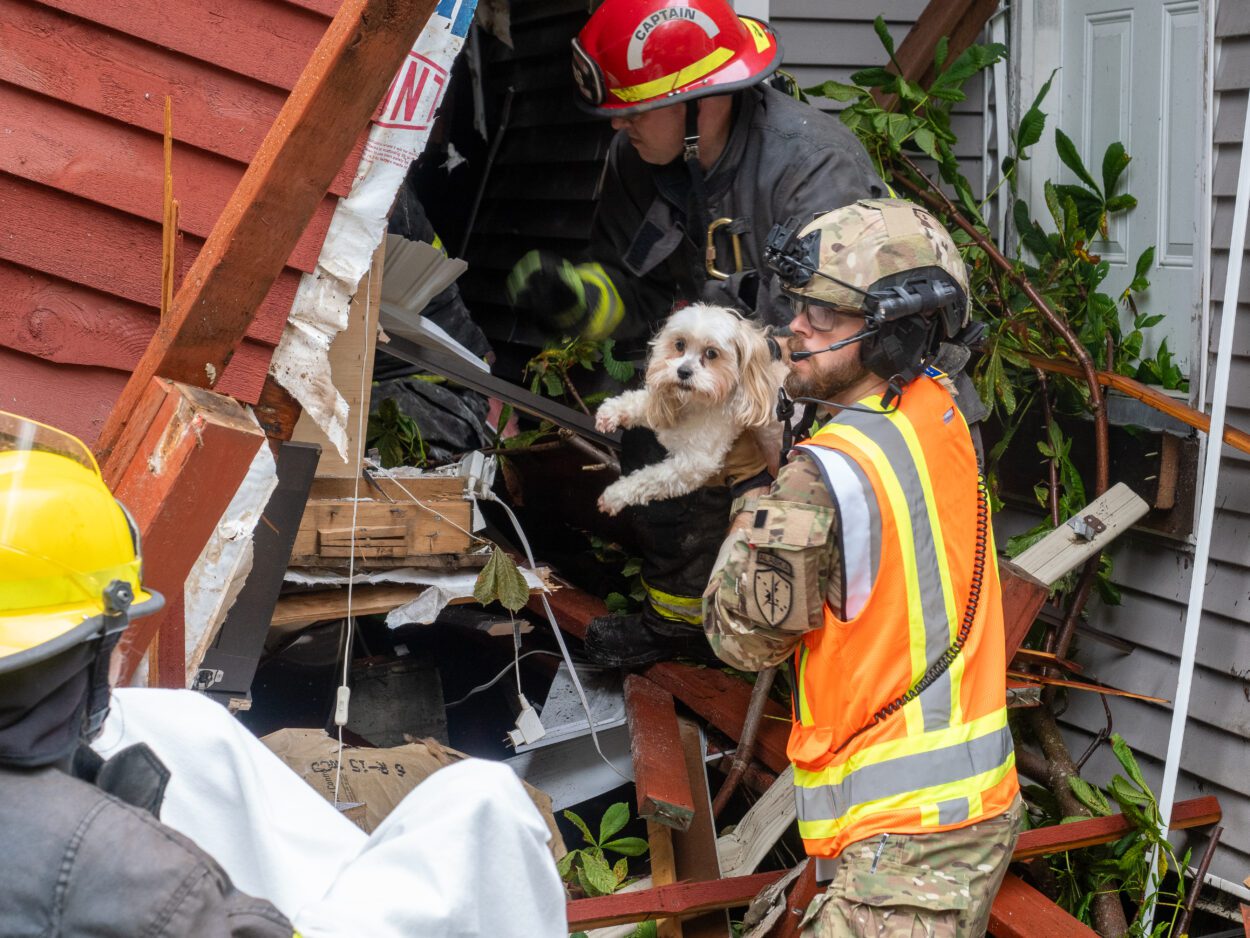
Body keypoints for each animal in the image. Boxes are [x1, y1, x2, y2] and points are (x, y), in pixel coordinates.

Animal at [592, 305, 780, 517]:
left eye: (711, 353)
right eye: (679, 345)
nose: (683, 372)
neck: (694, 405)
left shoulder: (693, 466)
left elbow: (650, 478)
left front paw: (614, 496)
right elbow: (640, 402)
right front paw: (611, 413)